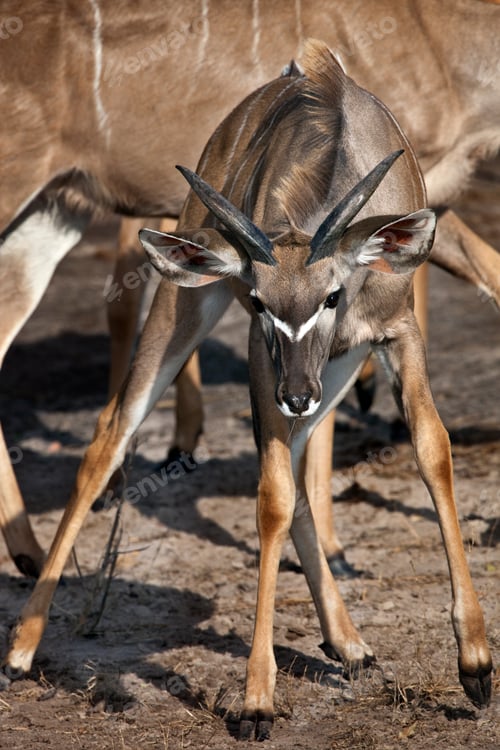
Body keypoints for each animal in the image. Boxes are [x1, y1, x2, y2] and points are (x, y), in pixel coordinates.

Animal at [4, 41, 492, 741]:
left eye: (333, 295)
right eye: (260, 303)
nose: (296, 395)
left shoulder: (395, 333)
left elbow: (432, 448)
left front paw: (475, 665)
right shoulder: (267, 362)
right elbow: (271, 499)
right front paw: (257, 699)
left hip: (332, 372)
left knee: (299, 463)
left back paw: (348, 643)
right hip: (188, 305)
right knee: (109, 436)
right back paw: (21, 648)